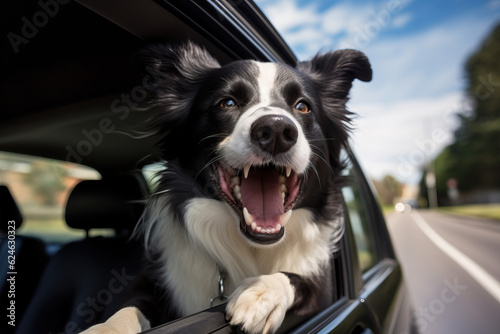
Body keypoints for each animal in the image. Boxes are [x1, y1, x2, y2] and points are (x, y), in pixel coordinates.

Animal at [83, 42, 372, 334]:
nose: (276, 130)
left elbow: (301, 281)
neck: (251, 247)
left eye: (302, 107)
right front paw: (105, 328)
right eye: (227, 102)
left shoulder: (323, 287)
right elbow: (129, 309)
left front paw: (262, 293)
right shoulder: (157, 281)